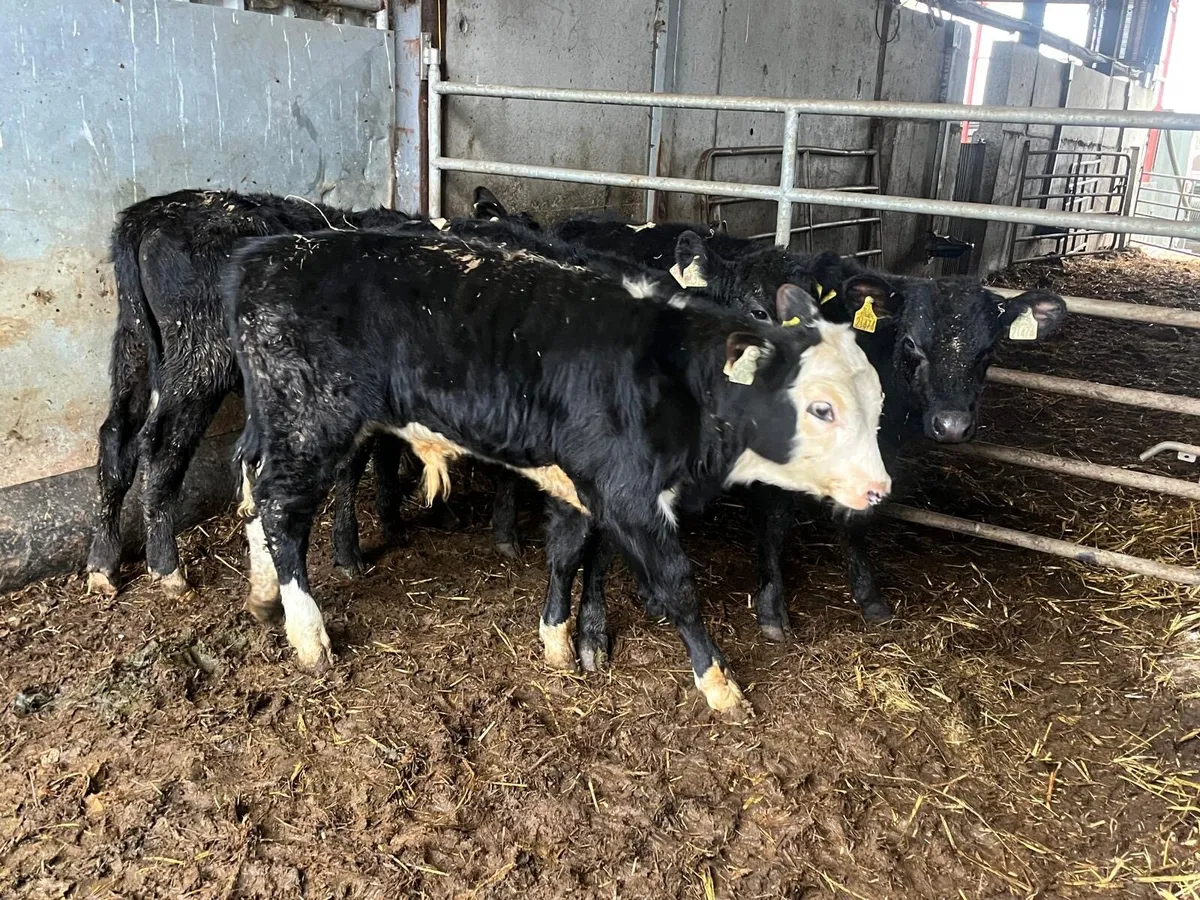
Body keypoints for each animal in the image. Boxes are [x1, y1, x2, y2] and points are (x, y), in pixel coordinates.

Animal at [224, 228, 890, 712]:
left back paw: (262, 596)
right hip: (313, 420)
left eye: (879, 399)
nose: (879, 489)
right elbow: (679, 586)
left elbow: (567, 554)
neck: (675, 375)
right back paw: (308, 633)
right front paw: (720, 685)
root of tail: (271, 253)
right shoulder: (629, 495)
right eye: (822, 408)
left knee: (253, 485)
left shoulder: (579, 482)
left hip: (277, 420)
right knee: (281, 508)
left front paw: (557, 643)